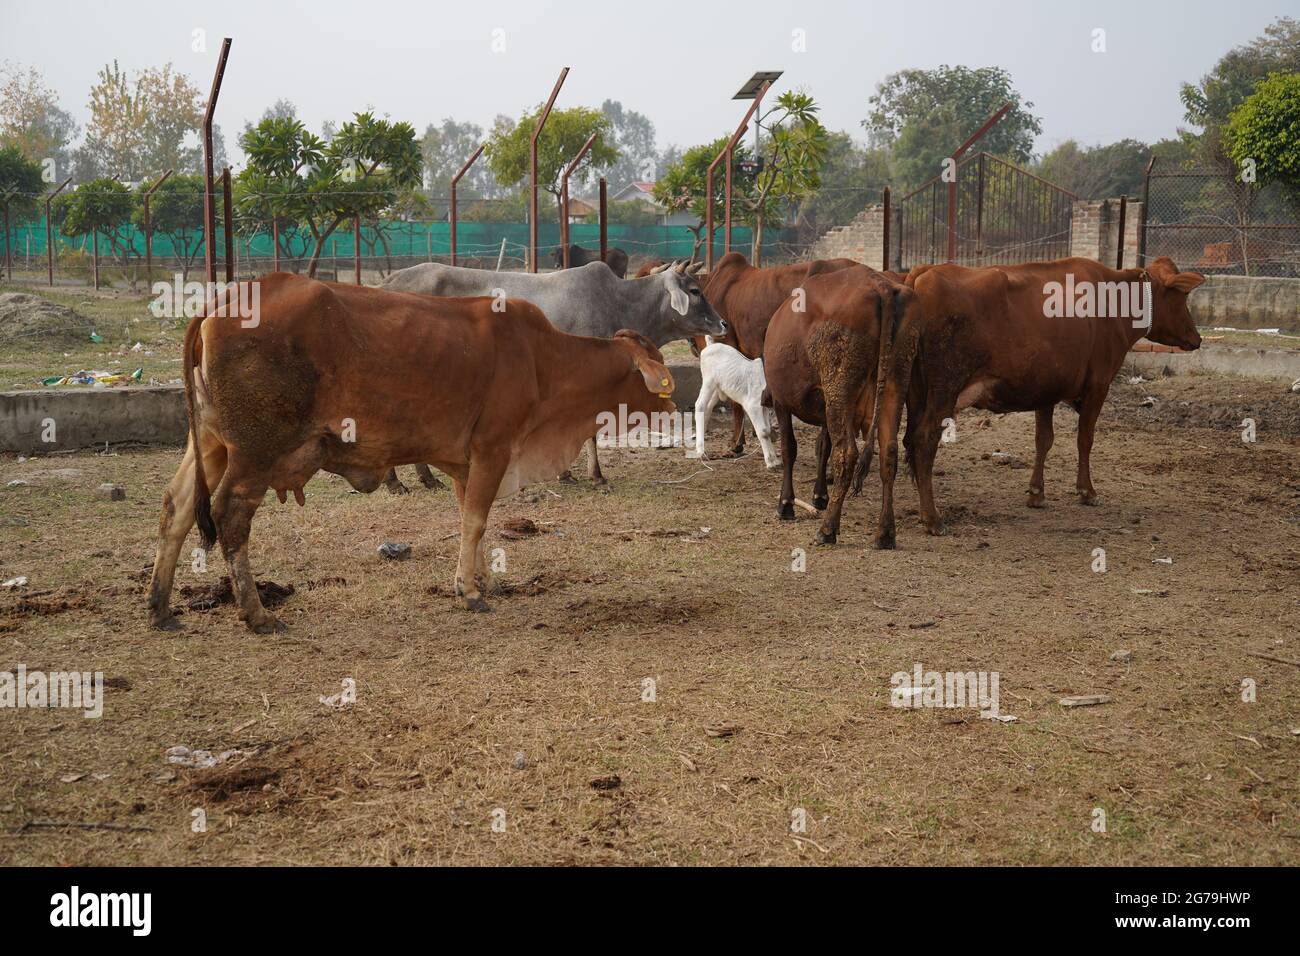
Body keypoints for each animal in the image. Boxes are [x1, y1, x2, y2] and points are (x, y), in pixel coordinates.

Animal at [149, 273, 681, 632]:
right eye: (656, 373)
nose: (674, 405)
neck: (542, 360)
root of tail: (222, 300)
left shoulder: (466, 463)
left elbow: (472, 520)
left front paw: (482, 580)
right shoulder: (493, 448)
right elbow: (475, 522)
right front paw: (470, 591)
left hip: (211, 443)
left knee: (177, 506)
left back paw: (160, 606)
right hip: (254, 453)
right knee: (230, 514)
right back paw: (256, 613)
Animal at [379, 260, 722, 489]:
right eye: (694, 290)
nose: (722, 324)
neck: (619, 302)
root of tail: (390, 280)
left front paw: (565, 472)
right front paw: (594, 475)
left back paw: (423, 477)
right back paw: (396, 481)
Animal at [696, 338, 774, 468]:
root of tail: (710, 345)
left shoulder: (764, 407)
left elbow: (767, 430)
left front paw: (776, 460)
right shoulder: (753, 406)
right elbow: (763, 432)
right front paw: (771, 463)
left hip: (718, 388)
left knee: (708, 408)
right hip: (708, 381)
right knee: (700, 405)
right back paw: (700, 451)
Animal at [759, 265, 915, 541]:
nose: (763, 397)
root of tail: (881, 286)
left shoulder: (782, 403)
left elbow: (790, 449)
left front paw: (786, 503)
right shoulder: (825, 409)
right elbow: (823, 447)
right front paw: (820, 496)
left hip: (839, 392)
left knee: (847, 454)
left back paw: (828, 528)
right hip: (893, 387)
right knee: (889, 453)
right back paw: (885, 533)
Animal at [873, 257, 1206, 548]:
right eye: (1182, 297)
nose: (1198, 338)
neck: (1113, 299)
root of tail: (922, 274)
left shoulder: (1047, 390)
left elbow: (1043, 440)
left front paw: (1036, 492)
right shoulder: (1098, 386)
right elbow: (1085, 440)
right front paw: (1087, 490)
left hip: (917, 393)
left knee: (909, 442)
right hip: (945, 390)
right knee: (924, 441)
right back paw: (932, 518)